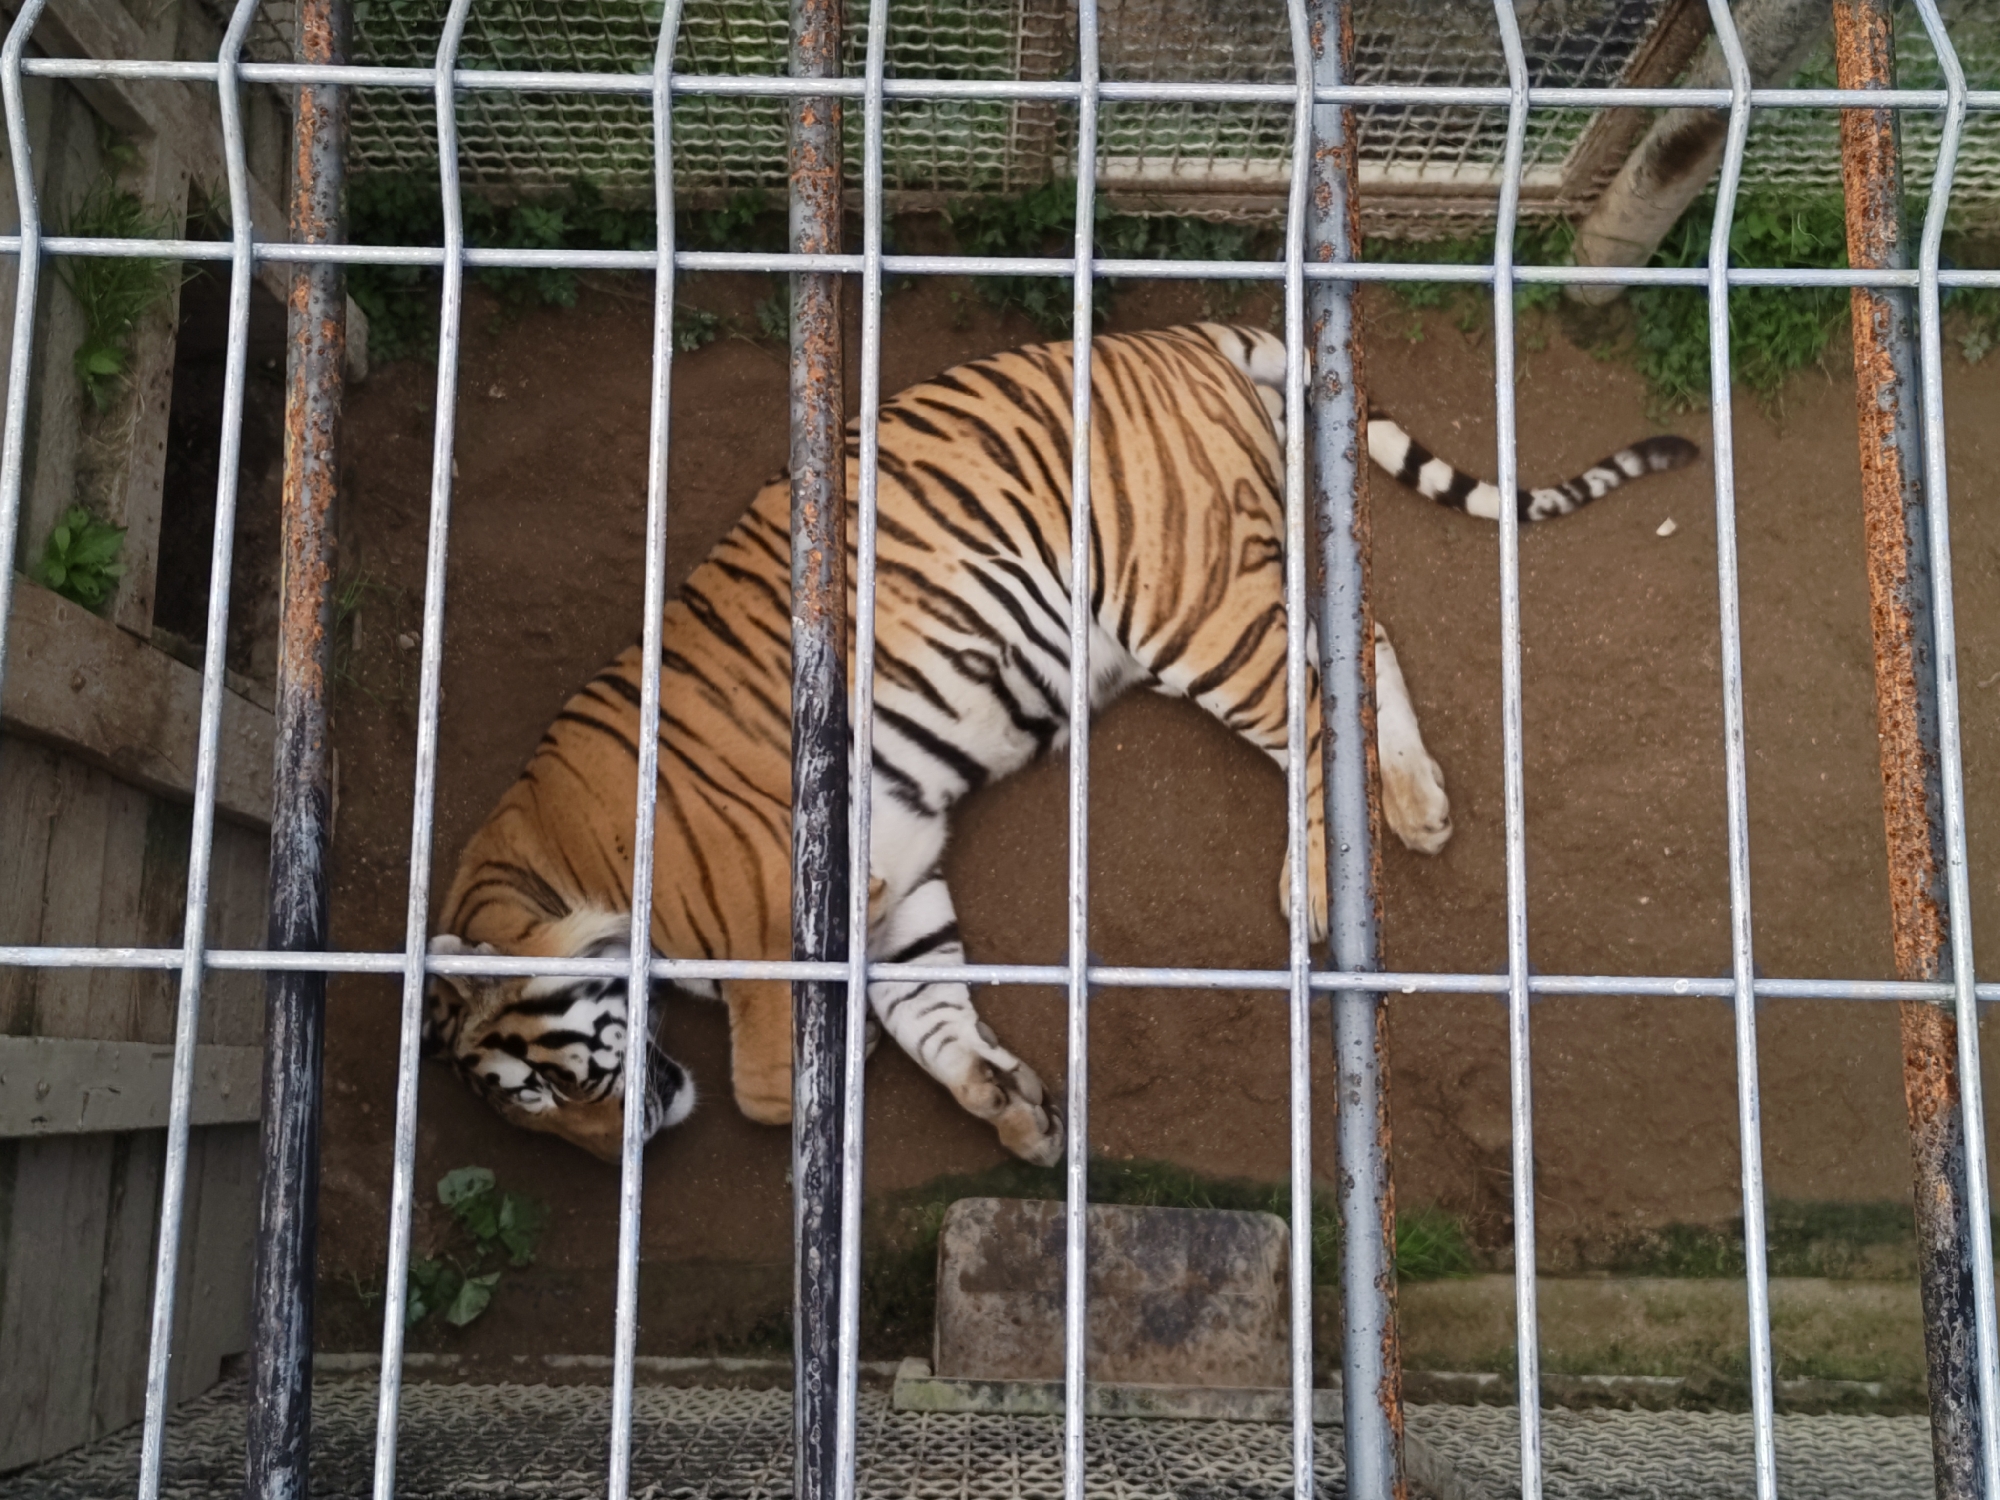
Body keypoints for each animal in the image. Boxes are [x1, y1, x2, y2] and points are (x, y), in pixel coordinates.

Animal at [425, 323, 1698, 1165]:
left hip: (1188, 606)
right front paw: (1009, 1106)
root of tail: (1173, 331)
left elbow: (770, 1086)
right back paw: (1417, 805)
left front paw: (848, 1075)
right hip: (1245, 583)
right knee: (1361, 647)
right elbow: (930, 1009)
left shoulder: (773, 921)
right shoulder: (890, 886)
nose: (622, 1152)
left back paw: (1314, 890)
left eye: (537, 1091)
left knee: (1311, 711)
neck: (554, 867)